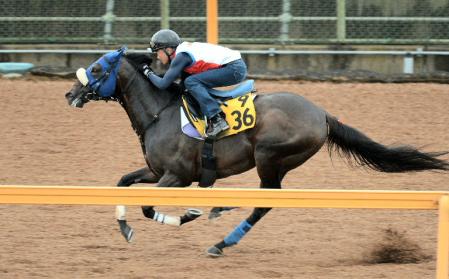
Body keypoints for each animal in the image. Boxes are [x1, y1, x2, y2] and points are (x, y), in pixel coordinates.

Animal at [64, 50, 448, 258]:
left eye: (96, 68)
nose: (70, 93)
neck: (162, 111)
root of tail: (322, 113)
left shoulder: (176, 177)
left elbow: (149, 207)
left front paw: (185, 215)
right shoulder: (157, 172)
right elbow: (123, 182)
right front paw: (125, 228)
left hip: (269, 157)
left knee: (266, 200)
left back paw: (221, 240)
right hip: (273, 162)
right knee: (263, 198)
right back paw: (220, 213)